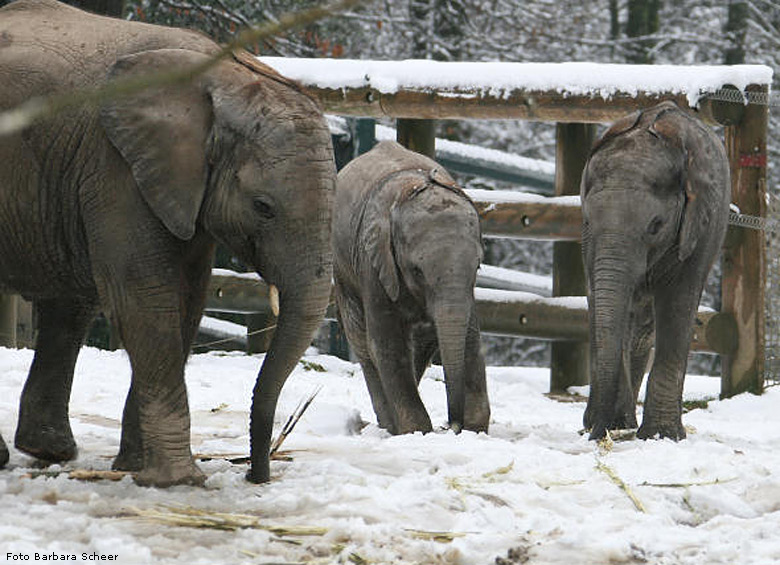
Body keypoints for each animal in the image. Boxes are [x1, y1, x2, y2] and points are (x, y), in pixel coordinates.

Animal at [0, 0, 334, 484]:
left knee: (72, 303)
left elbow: (186, 298)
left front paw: (137, 468)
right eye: (263, 206)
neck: (227, 76)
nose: (256, 473)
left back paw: (48, 450)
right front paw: (179, 480)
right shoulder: (115, 166)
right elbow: (145, 295)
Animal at [332, 141, 490, 436]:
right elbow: (387, 345)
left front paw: (475, 430)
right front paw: (417, 432)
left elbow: (470, 339)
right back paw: (387, 425)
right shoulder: (374, 264)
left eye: (477, 267)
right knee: (362, 342)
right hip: (343, 269)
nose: (452, 425)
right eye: (417, 270)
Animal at [580, 101, 736, 438]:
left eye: (656, 226)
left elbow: (678, 304)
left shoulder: (701, 224)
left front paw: (662, 435)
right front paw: (613, 424)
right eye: (587, 219)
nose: (597, 434)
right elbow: (601, 303)